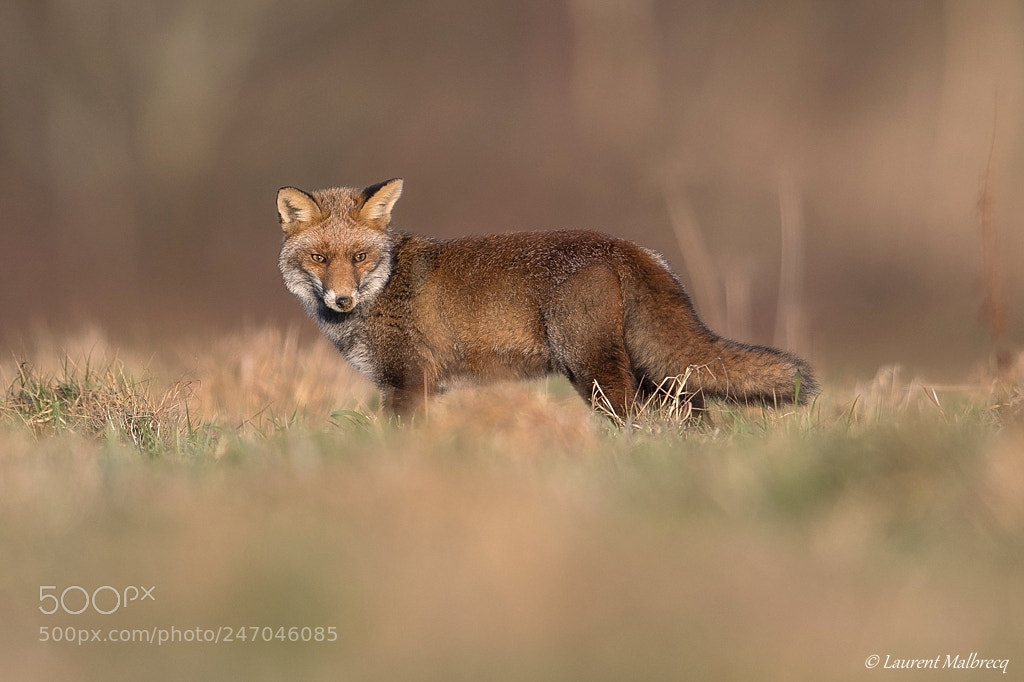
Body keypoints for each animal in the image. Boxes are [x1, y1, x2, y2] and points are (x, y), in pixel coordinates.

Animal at [277, 178, 818, 420]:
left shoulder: (411, 381)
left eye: (360, 257)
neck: (386, 286)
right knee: (692, 416)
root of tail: (626, 245)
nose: (342, 300)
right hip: (648, 375)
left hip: (593, 372)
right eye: (320, 258)